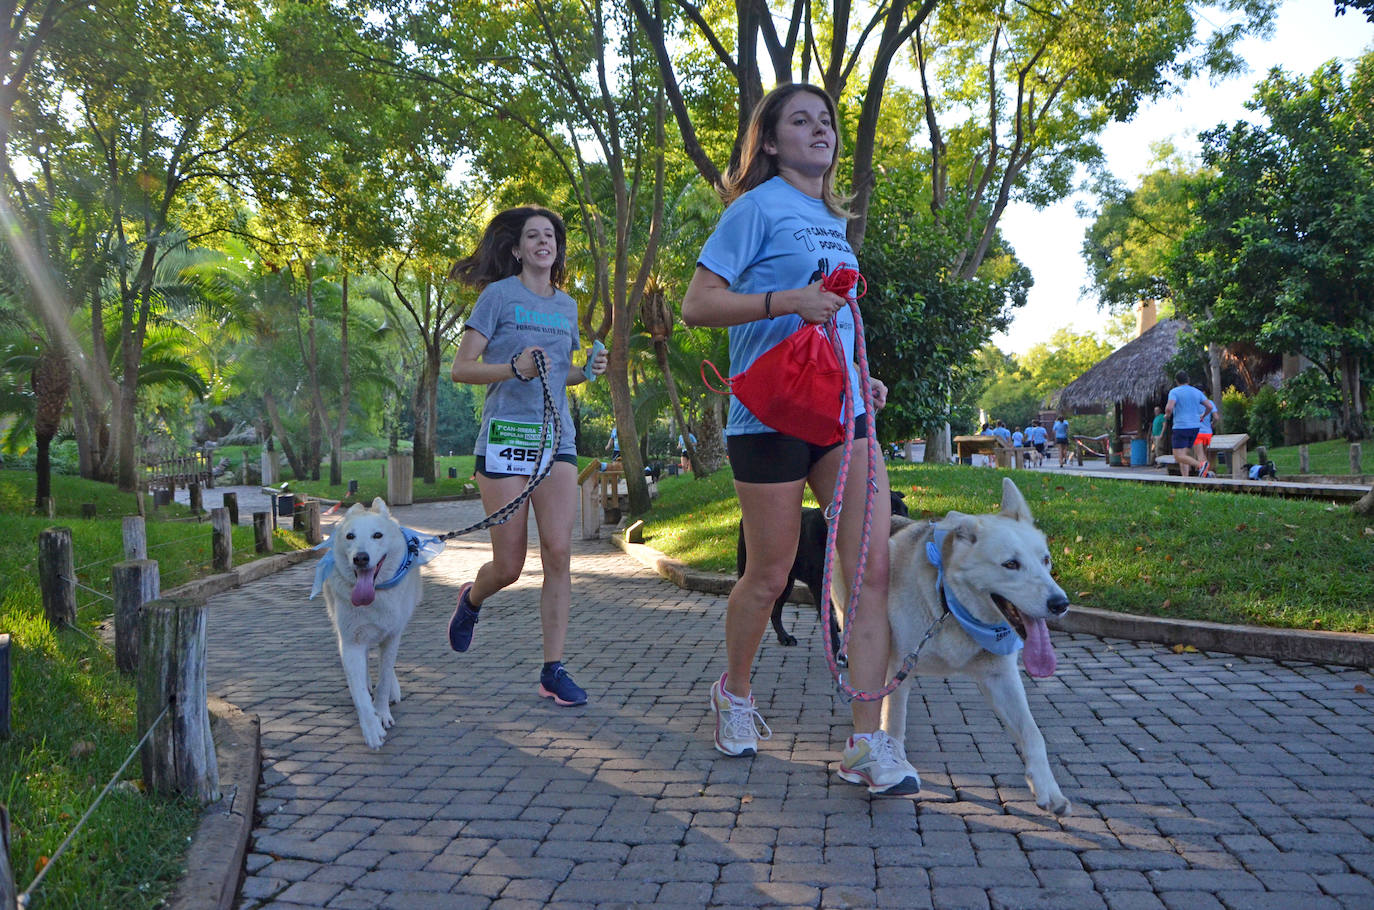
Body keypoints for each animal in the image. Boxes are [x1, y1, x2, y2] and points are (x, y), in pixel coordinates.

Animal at [310, 500, 439, 747]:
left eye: (377, 535)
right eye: (350, 536)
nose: (360, 558)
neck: (375, 595)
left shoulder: (392, 636)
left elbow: (385, 677)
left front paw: (382, 713)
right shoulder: (351, 642)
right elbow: (359, 691)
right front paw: (371, 729)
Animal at [736, 492, 906, 662]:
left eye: (906, 510)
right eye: (892, 511)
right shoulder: (819, 585)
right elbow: (829, 622)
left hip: (786, 583)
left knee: (776, 611)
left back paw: (784, 637)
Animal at [879, 481, 1071, 813]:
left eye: (1046, 560)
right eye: (1010, 564)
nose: (1060, 604)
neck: (949, 604)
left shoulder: (1002, 677)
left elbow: (1033, 734)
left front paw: (1047, 788)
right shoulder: (898, 668)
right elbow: (893, 723)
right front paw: (893, 765)